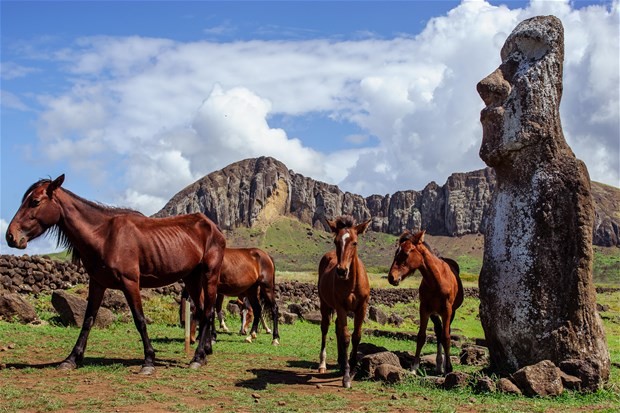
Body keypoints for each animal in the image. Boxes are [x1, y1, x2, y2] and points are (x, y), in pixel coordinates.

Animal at [5, 174, 225, 374]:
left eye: (35, 201)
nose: (10, 236)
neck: (104, 236)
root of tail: (213, 227)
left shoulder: (130, 283)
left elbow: (139, 320)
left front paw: (149, 361)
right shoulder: (97, 283)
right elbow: (88, 320)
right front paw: (71, 359)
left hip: (209, 276)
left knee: (207, 312)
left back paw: (197, 358)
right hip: (192, 278)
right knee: (203, 311)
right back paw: (205, 352)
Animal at [318, 214, 370, 388]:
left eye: (355, 242)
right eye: (336, 241)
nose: (341, 271)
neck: (352, 282)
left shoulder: (361, 308)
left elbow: (356, 336)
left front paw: (352, 368)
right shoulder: (340, 307)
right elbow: (346, 337)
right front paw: (347, 376)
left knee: (337, 329)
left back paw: (341, 361)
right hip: (325, 305)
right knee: (325, 328)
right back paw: (323, 364)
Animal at [388, 230, 460, 374]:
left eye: (406, 253)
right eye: (396, 253)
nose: (391, 277)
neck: (437, 281)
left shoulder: (447, 310)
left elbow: (446, 337)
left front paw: (449, 368)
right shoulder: (424, 309)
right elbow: (421, 336)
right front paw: (414, 368)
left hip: (450, 312)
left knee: (445, 333)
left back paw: (444, 364)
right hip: (434, 314)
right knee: (438, 331)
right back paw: (439, 364)